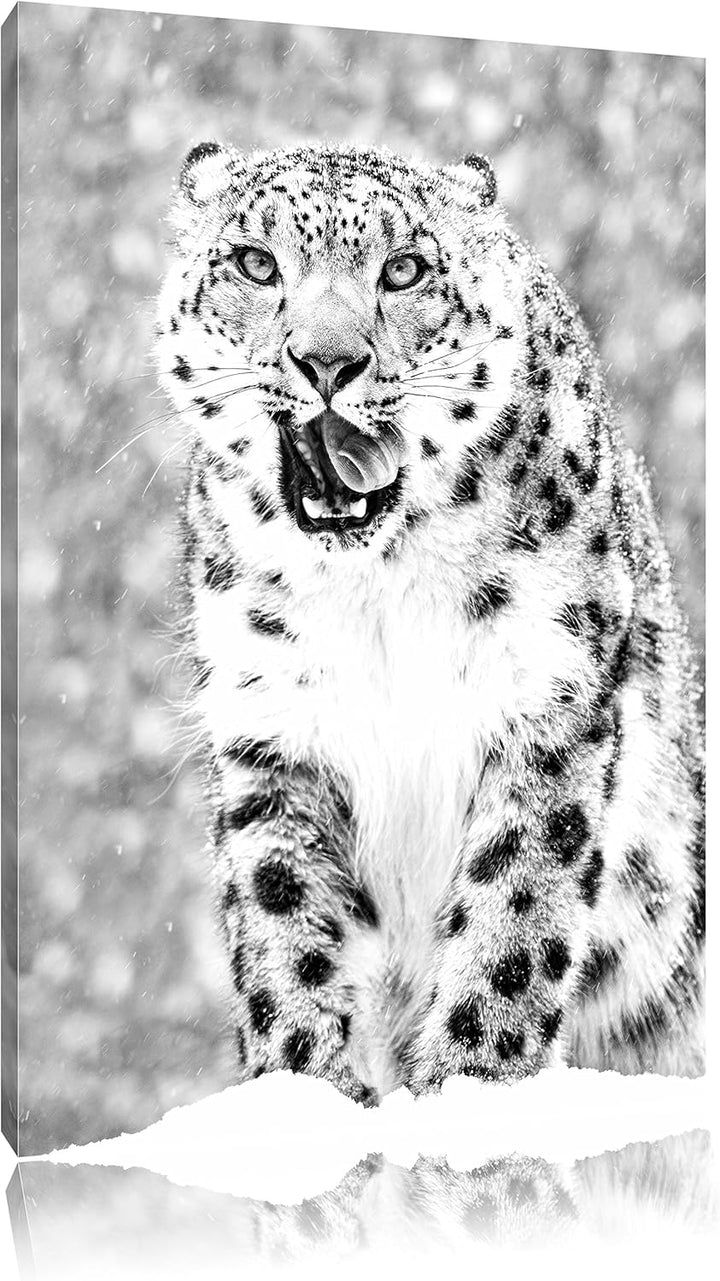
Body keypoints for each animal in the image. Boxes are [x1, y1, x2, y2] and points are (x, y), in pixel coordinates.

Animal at [155, 141, 705, 1106]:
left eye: (405, 268)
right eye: (255, 263)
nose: (327, 361)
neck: (377, 592)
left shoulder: (546, 703)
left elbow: (513, 909)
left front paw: (475, 1081)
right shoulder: (275, 728)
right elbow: (286, 919)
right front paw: (307, 1089)